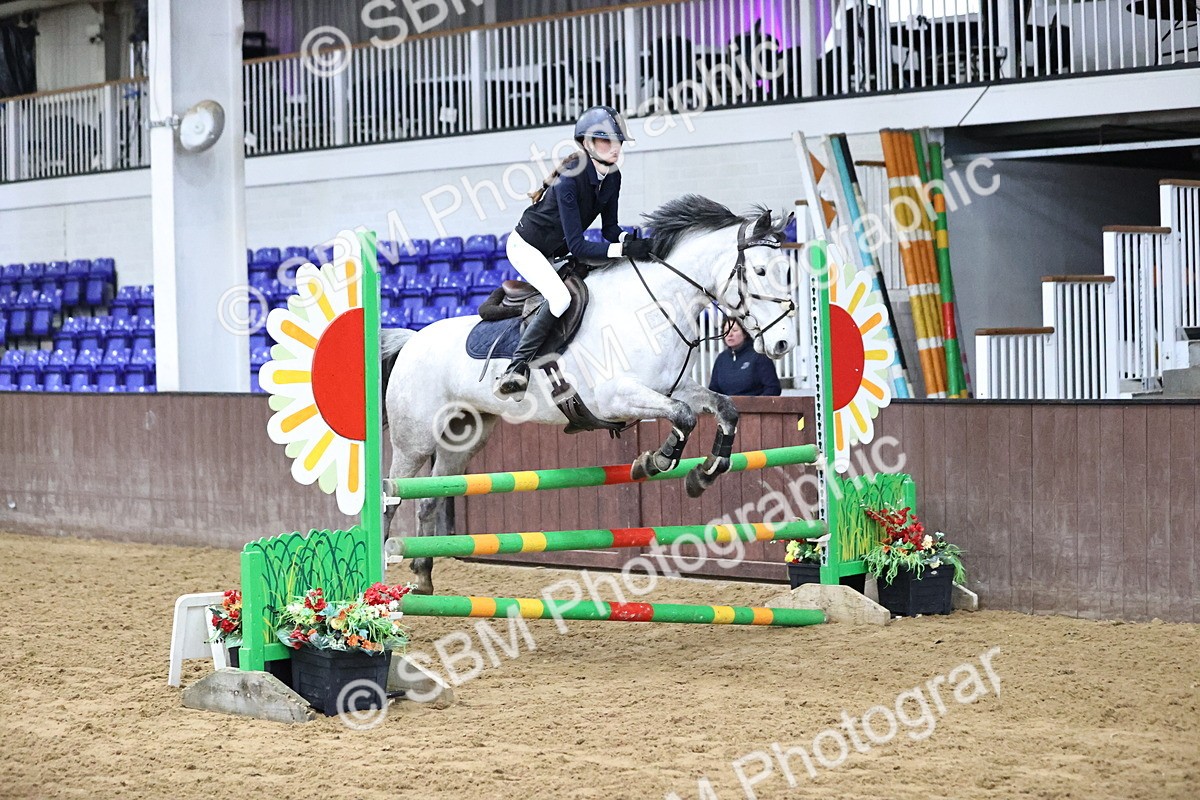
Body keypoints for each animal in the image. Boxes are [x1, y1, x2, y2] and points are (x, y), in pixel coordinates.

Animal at [381, 195, 799, 594]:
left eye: (787, 271)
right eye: (760, 271)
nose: (783, 344)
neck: (651, 308)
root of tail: (412, 338)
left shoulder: (671, 387)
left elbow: (724, 409)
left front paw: (704, 474)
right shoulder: (616, 398)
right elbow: (684, 415)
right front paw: (655, 461)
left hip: (465, 439)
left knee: (430, 498)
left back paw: (423, 575)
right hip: (414, 440)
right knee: (392, 497)